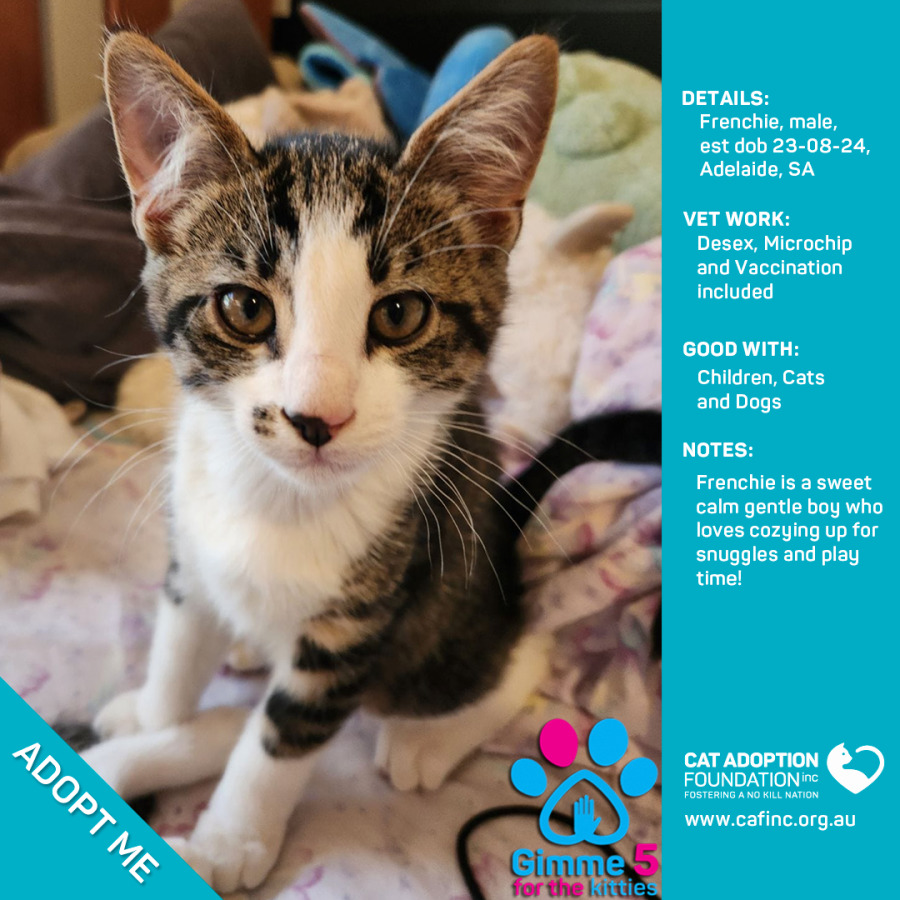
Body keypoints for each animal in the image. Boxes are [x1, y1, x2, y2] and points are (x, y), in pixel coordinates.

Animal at [94, 29, 559, 893]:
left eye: (402, 313)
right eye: (244, 307)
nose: (317, 417)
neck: (272, 497)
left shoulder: (360, 621)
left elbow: (282, 735)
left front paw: (228, 842)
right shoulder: (191, 549)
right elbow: (178, 645)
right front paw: (154, 717)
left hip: (447, 606)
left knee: (521, 653)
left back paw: (425, 737)